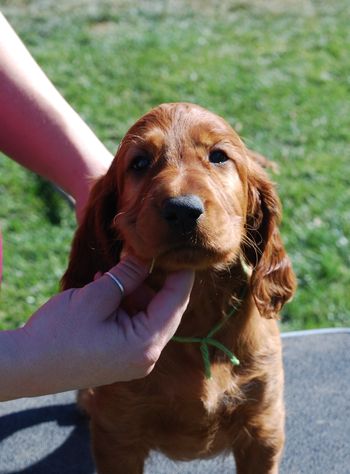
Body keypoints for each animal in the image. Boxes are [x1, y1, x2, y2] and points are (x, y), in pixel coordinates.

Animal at [62, 103, 296, 474]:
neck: (197, 311)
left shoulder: (264, 427)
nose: (183, 210)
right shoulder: (118, 437)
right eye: (140, 163)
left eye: (218, 156)